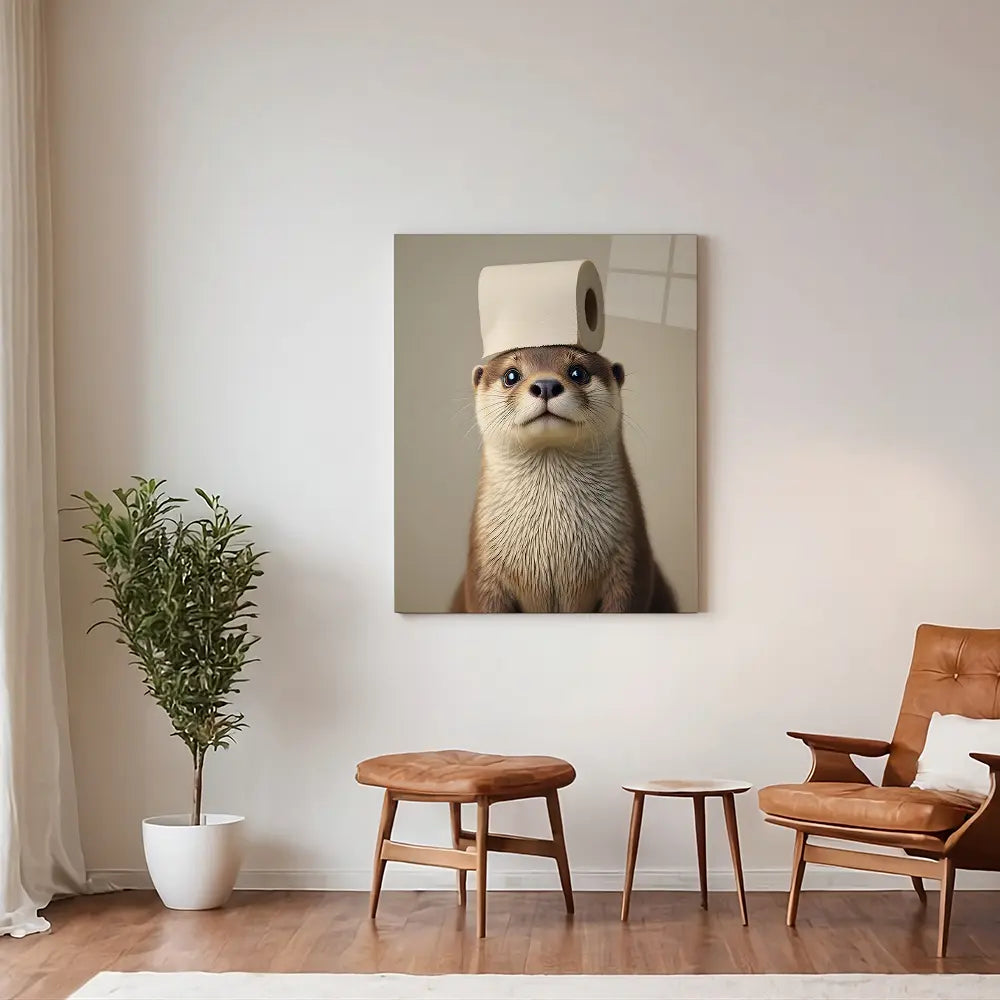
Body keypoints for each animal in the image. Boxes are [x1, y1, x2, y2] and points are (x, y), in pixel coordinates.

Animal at [451, 345, 678, 613]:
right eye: (511, 375)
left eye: (578, 372)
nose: (546, 385)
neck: (553, 543)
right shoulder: (481, 572)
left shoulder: (632, 561)